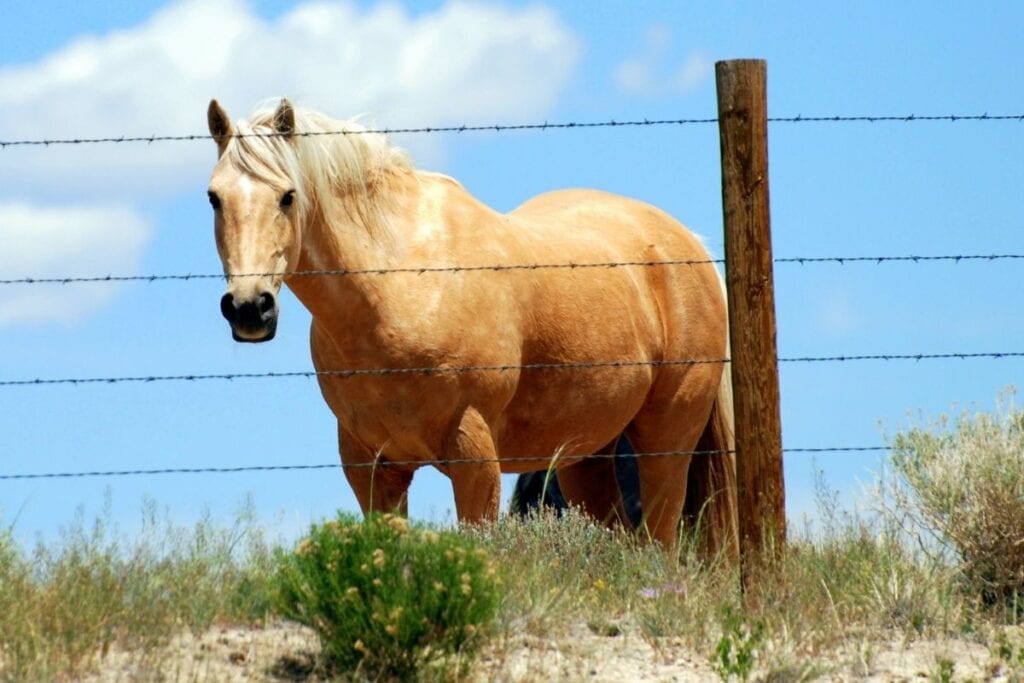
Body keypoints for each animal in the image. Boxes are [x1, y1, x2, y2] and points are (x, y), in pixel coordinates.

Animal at [207, 97, 737, 557]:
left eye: (287, 196)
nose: (249, 308)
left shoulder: (475, 457)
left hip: (665, 441)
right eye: (214, 197)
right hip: (586, 457)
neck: (398, 284)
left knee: (660, 541)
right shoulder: (371, 466)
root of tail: (687, 243)